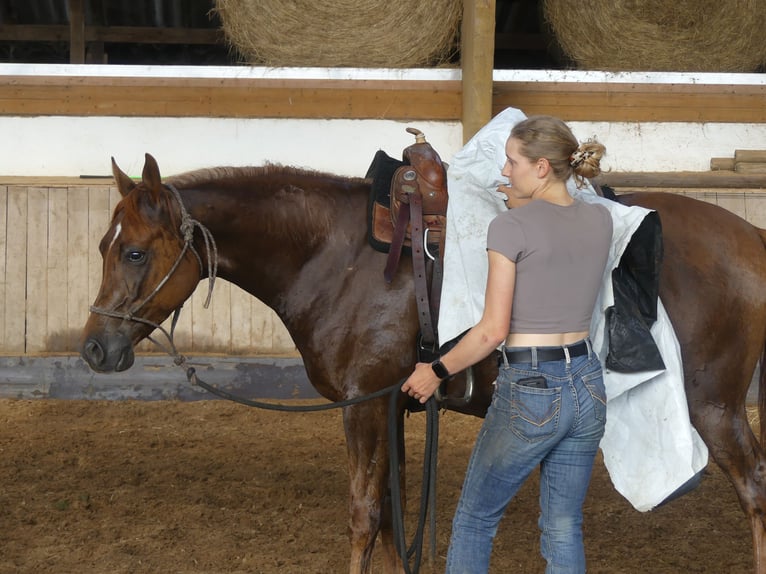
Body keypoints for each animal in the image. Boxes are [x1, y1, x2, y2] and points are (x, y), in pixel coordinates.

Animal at [79, 153, 766, 574]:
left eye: (135, 251)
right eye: (103, 246)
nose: (94, 348)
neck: (333, 256)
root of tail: (750, 237)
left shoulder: (363, 406)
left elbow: (363, 515)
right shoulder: (394, 406)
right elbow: (391, 516)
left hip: (714, 405)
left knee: (754, 486)